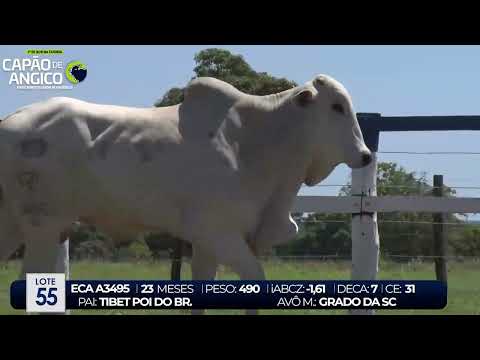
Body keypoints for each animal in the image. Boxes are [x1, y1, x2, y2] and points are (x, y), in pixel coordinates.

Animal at [0, 74, 372, 314]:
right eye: (337, 107)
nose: (366, 155)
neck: (254, 141)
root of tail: (9, 121)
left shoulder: (207, 243)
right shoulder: (218, 232)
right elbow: (255, 279)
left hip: (17, 224)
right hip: (43, 223)